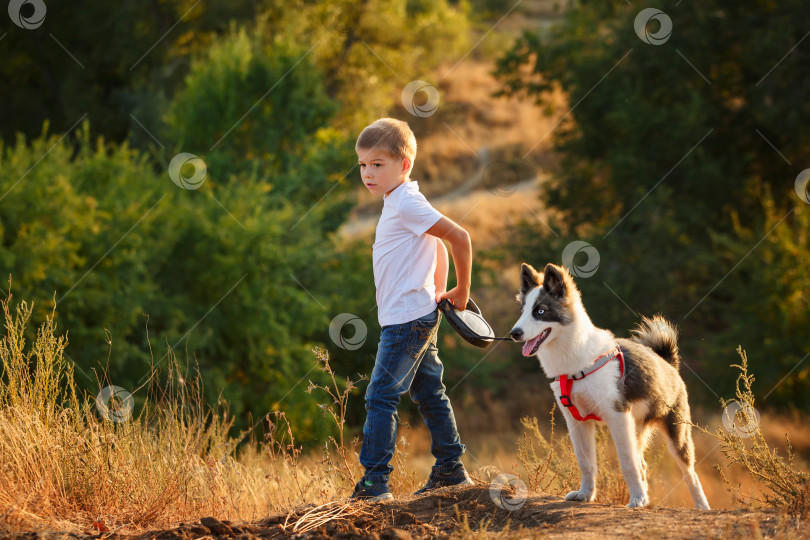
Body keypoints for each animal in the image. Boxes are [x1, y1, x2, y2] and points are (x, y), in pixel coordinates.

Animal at [512, 264, 708, 508]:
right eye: (522, 311)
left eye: (540, 311)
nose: (514, 334)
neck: (577, 363)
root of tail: (667, 362)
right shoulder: (577, 421)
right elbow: (586, 462)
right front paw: (585, 494)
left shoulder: (617, 416)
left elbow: (627, 463)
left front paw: (637, 499)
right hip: (636, 429)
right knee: (642, 463)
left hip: (676, 433)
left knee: (690, 474)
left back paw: (701, 506)